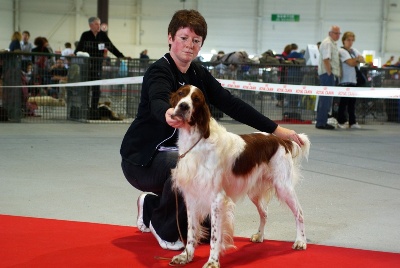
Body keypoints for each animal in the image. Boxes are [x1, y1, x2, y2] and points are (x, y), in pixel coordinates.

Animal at [169, 85, 310, 266]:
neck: (197, 141)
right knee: (264, 212)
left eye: (196, 99)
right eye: (181, 94)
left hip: (283, 186)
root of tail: (281, 141)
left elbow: (215, 236)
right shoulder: (192, 195)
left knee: (299, 212)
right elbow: (191, 231)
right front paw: (186, 256)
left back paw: (300, 241)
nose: (183, 106)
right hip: (254, 191)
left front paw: (212, 261)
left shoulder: (216, 199)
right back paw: (260, 236)